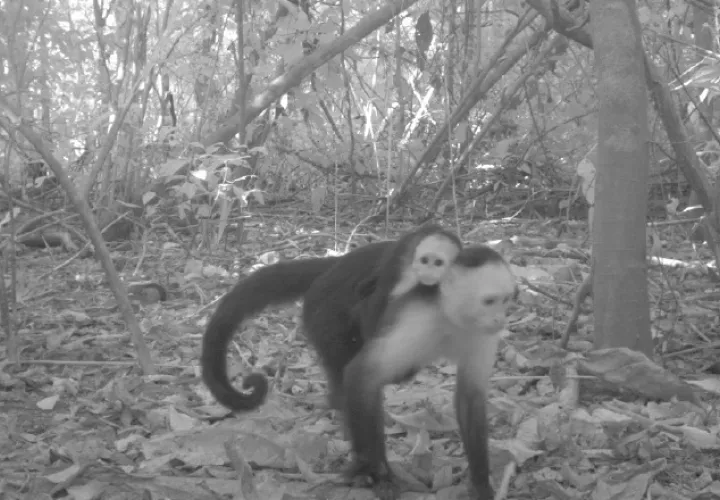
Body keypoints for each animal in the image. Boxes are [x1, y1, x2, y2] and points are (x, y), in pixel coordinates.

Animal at [343, 245, 516, 500]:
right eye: (489, 301)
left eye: (505, 300)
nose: (500, 319)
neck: (450, 316)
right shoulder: (418, 321)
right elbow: (361, 375)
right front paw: (381, 475)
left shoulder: (483, 333)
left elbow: (470, 398)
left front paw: (481, 483)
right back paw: (364, 465)